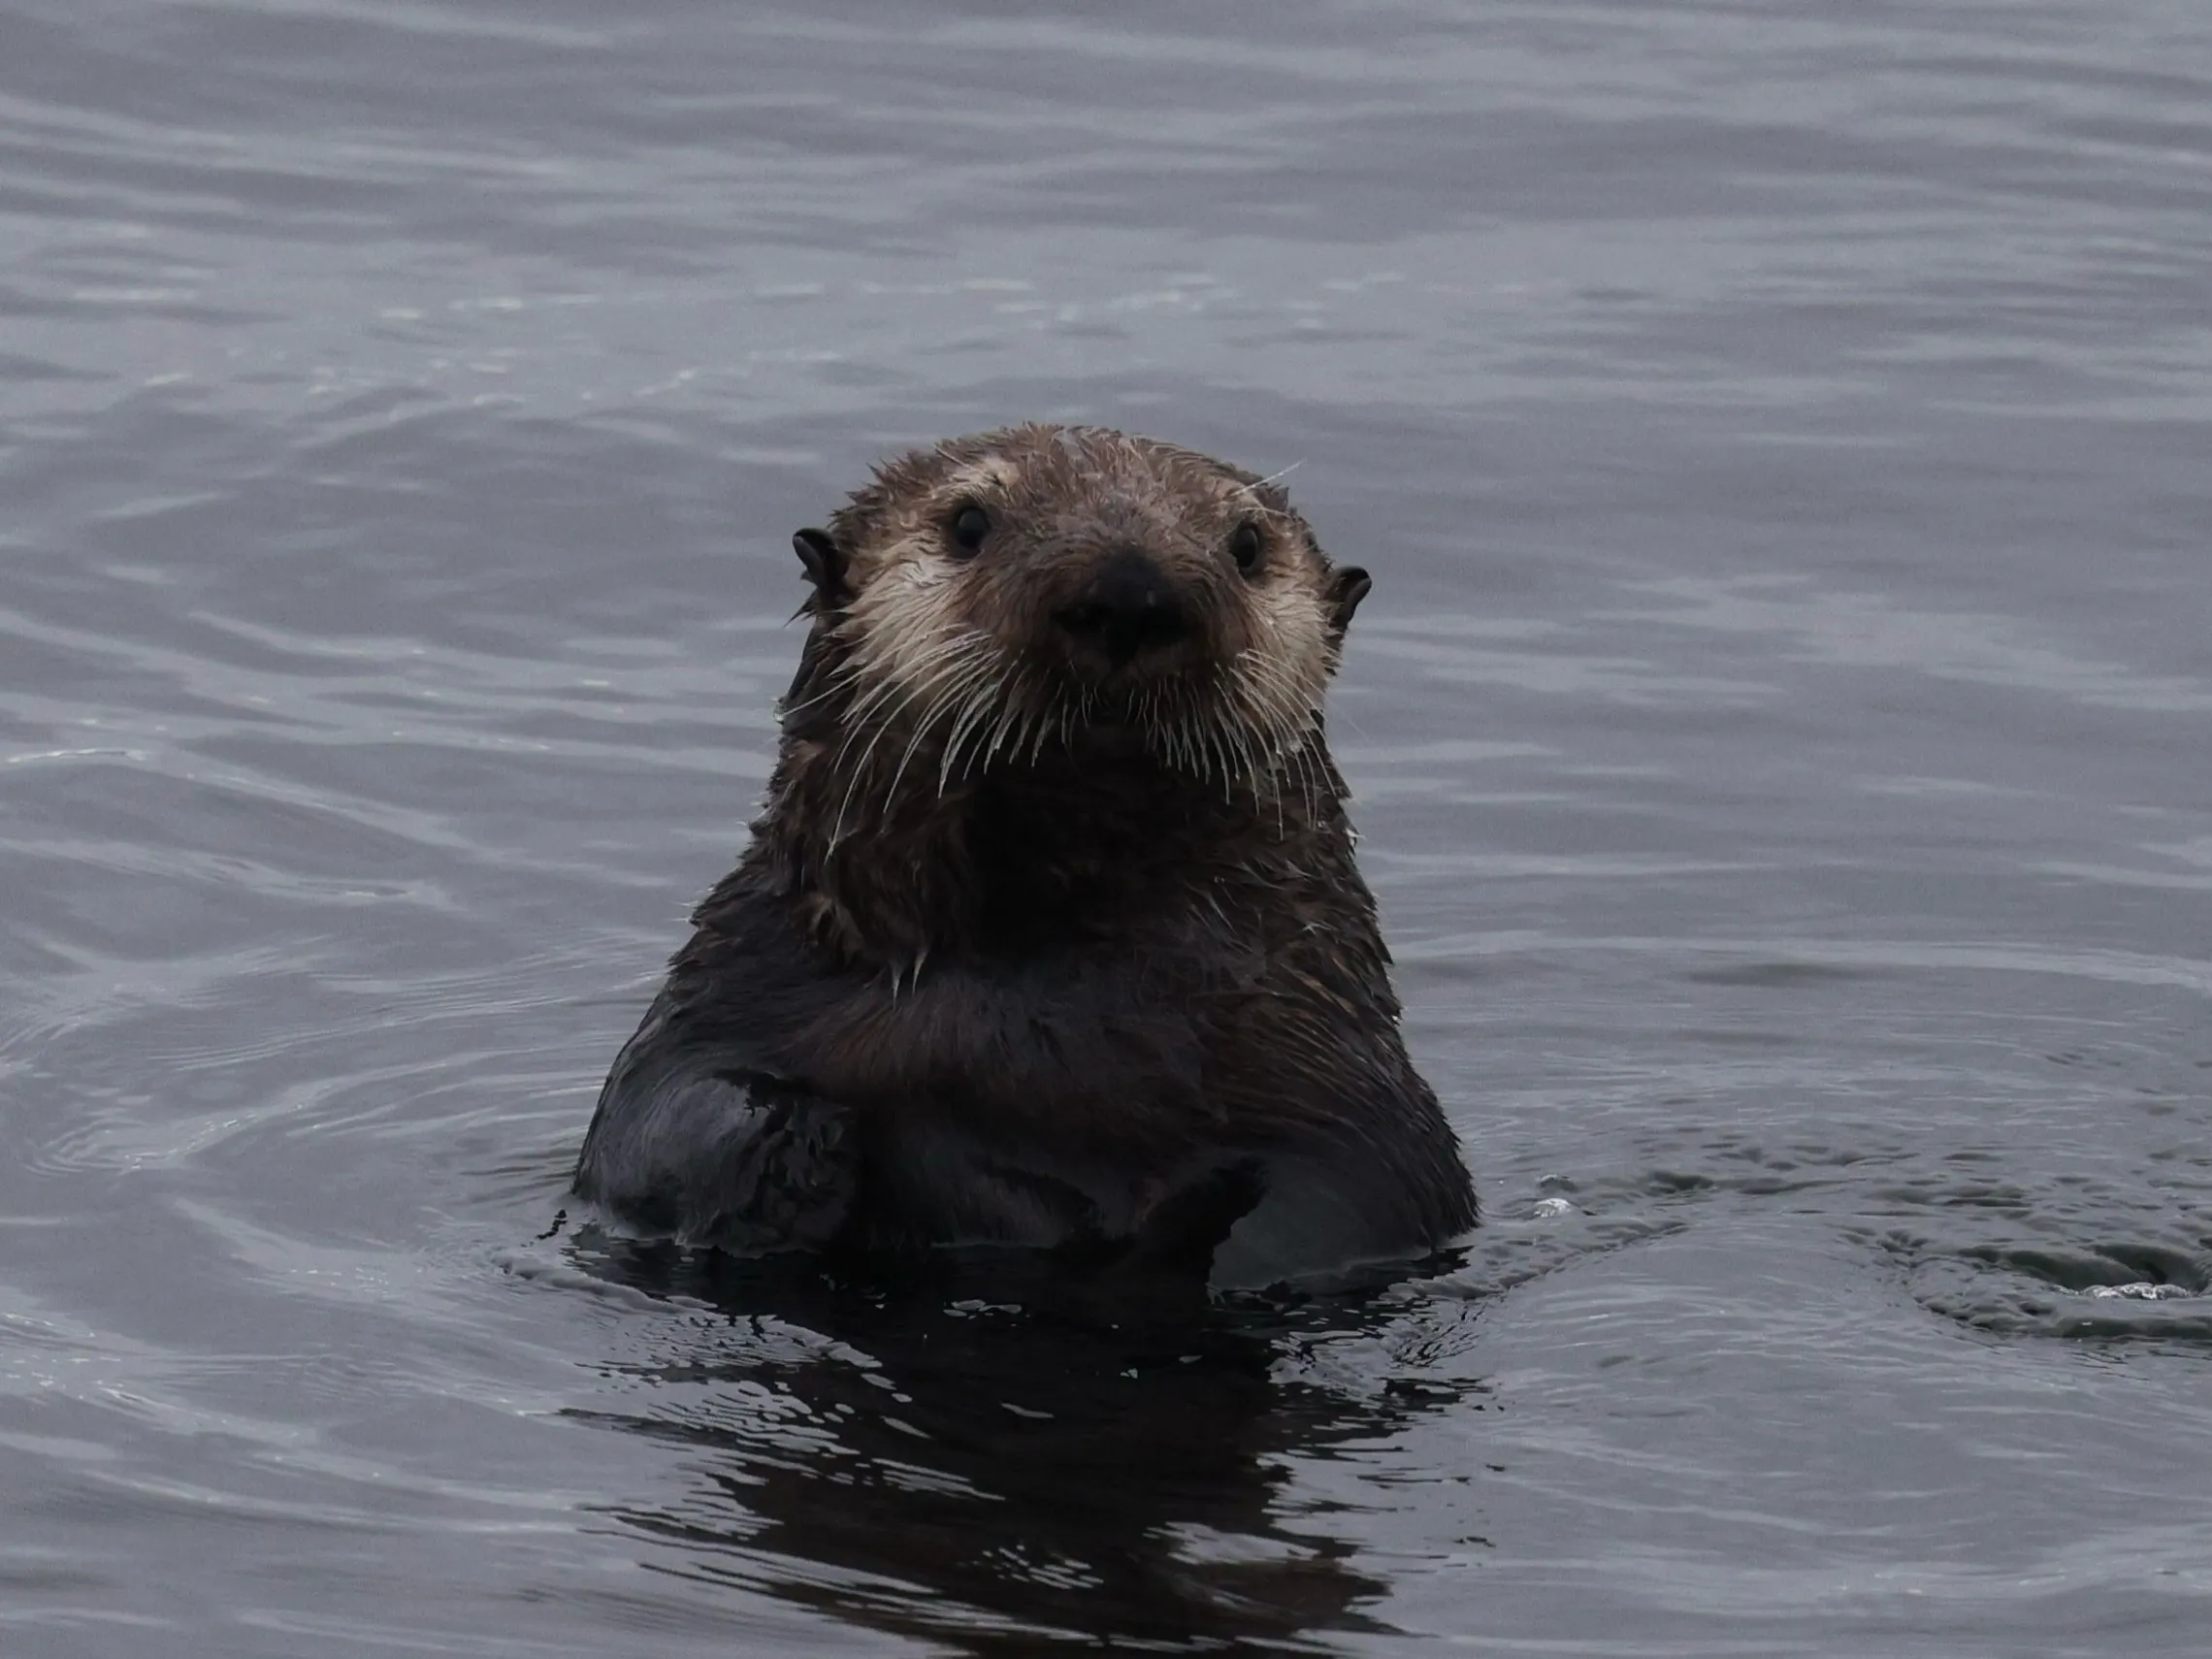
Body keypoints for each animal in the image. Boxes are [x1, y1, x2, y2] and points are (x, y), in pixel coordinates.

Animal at [574, 425, 1476, 1288]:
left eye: (1248, 544)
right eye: (969, 522)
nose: (1127, 593)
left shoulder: (1342, 1077)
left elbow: (1365, 1192)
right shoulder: (732, 983)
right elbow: (648, 1126)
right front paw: (796, 1143)